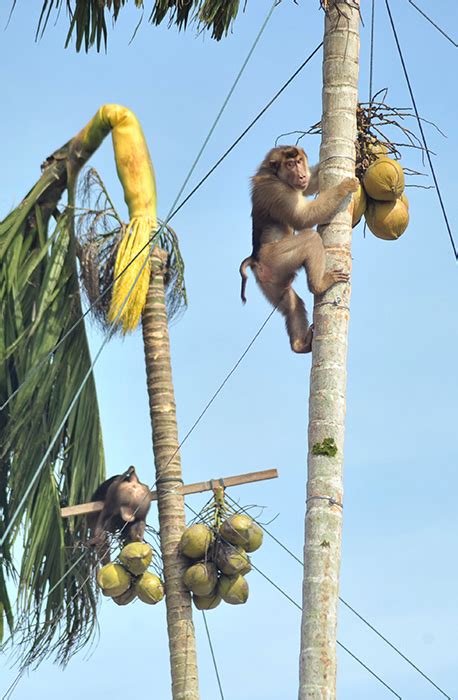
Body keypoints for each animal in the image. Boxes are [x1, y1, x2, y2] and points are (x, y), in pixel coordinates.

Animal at [240, 145, 358, 352]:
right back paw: (319, 285)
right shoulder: (276, 190)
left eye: (299, 161)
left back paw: (299, 344)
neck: (274, 173)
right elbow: (303, 218)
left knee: (290, 304)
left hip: (270, 282)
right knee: (310, 239)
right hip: (276, 258)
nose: (301, 174)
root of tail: (255, 258)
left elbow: (310, 185)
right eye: (290, 164)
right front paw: (345, 186)